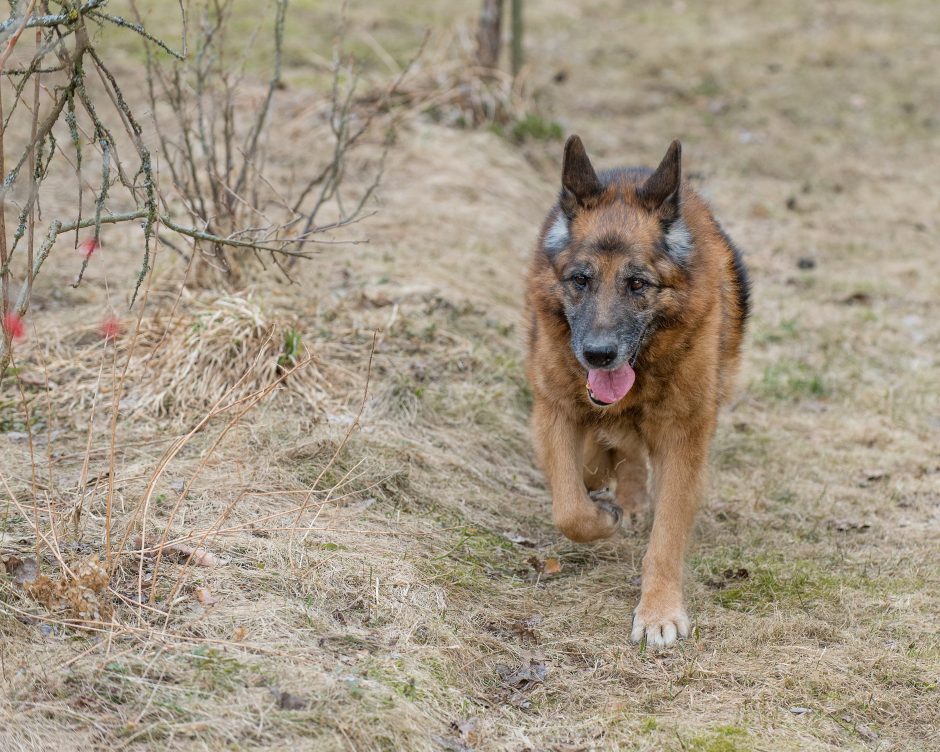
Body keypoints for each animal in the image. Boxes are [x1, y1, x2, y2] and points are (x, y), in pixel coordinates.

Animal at [524, 138, 752, 648]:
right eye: (581, 280)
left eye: (637, 284)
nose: (598, 355)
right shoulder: (554, 409)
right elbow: (569, 507)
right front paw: (601, 511)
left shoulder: (683, 441)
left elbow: (665, 539)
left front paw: (658, 613)